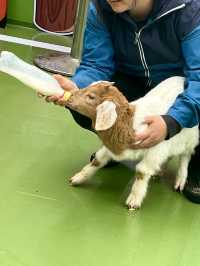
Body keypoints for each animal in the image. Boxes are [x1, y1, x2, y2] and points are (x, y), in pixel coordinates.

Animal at [64, 77, 198, 210]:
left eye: (91, 97)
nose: (70, 96)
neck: (128, 124)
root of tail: (184, 79)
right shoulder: (111, 146)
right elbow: (98, 160)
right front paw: (77, 178)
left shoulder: (154, 150)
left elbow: (141, 171)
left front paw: (134, 201)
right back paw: (159, 171)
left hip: (191, 138)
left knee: (186, 156)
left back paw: (180, 181)